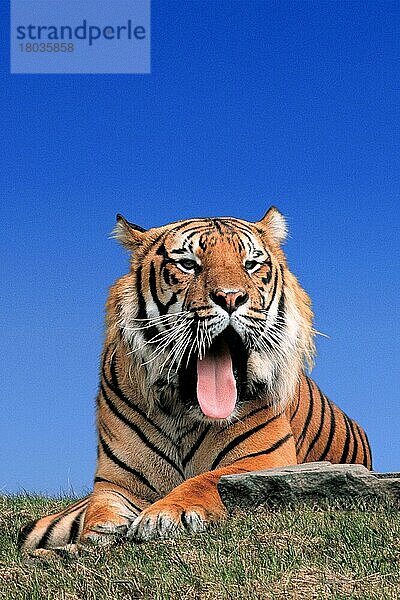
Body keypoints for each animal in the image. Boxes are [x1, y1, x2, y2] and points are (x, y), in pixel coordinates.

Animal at [17, 207, 370, 552]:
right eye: (188, 264)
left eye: (251, 265)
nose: (230, 297)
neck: (181, 413)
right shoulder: (116, 481)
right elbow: (102, 511)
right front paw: (96, 536)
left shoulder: (263, 461)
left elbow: (207, 479)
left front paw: (163, 515)